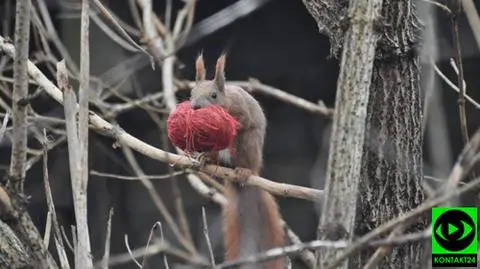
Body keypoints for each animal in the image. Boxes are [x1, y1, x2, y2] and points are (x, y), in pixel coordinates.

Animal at [188, 53, 284, 266]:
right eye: (191, 93)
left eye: (214, 95)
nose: (195, 107)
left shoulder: (241, 109)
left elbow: (242, 121)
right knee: (215, 155)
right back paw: (205, 158)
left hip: (247, 145)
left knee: (244, 158)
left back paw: (243, 171)